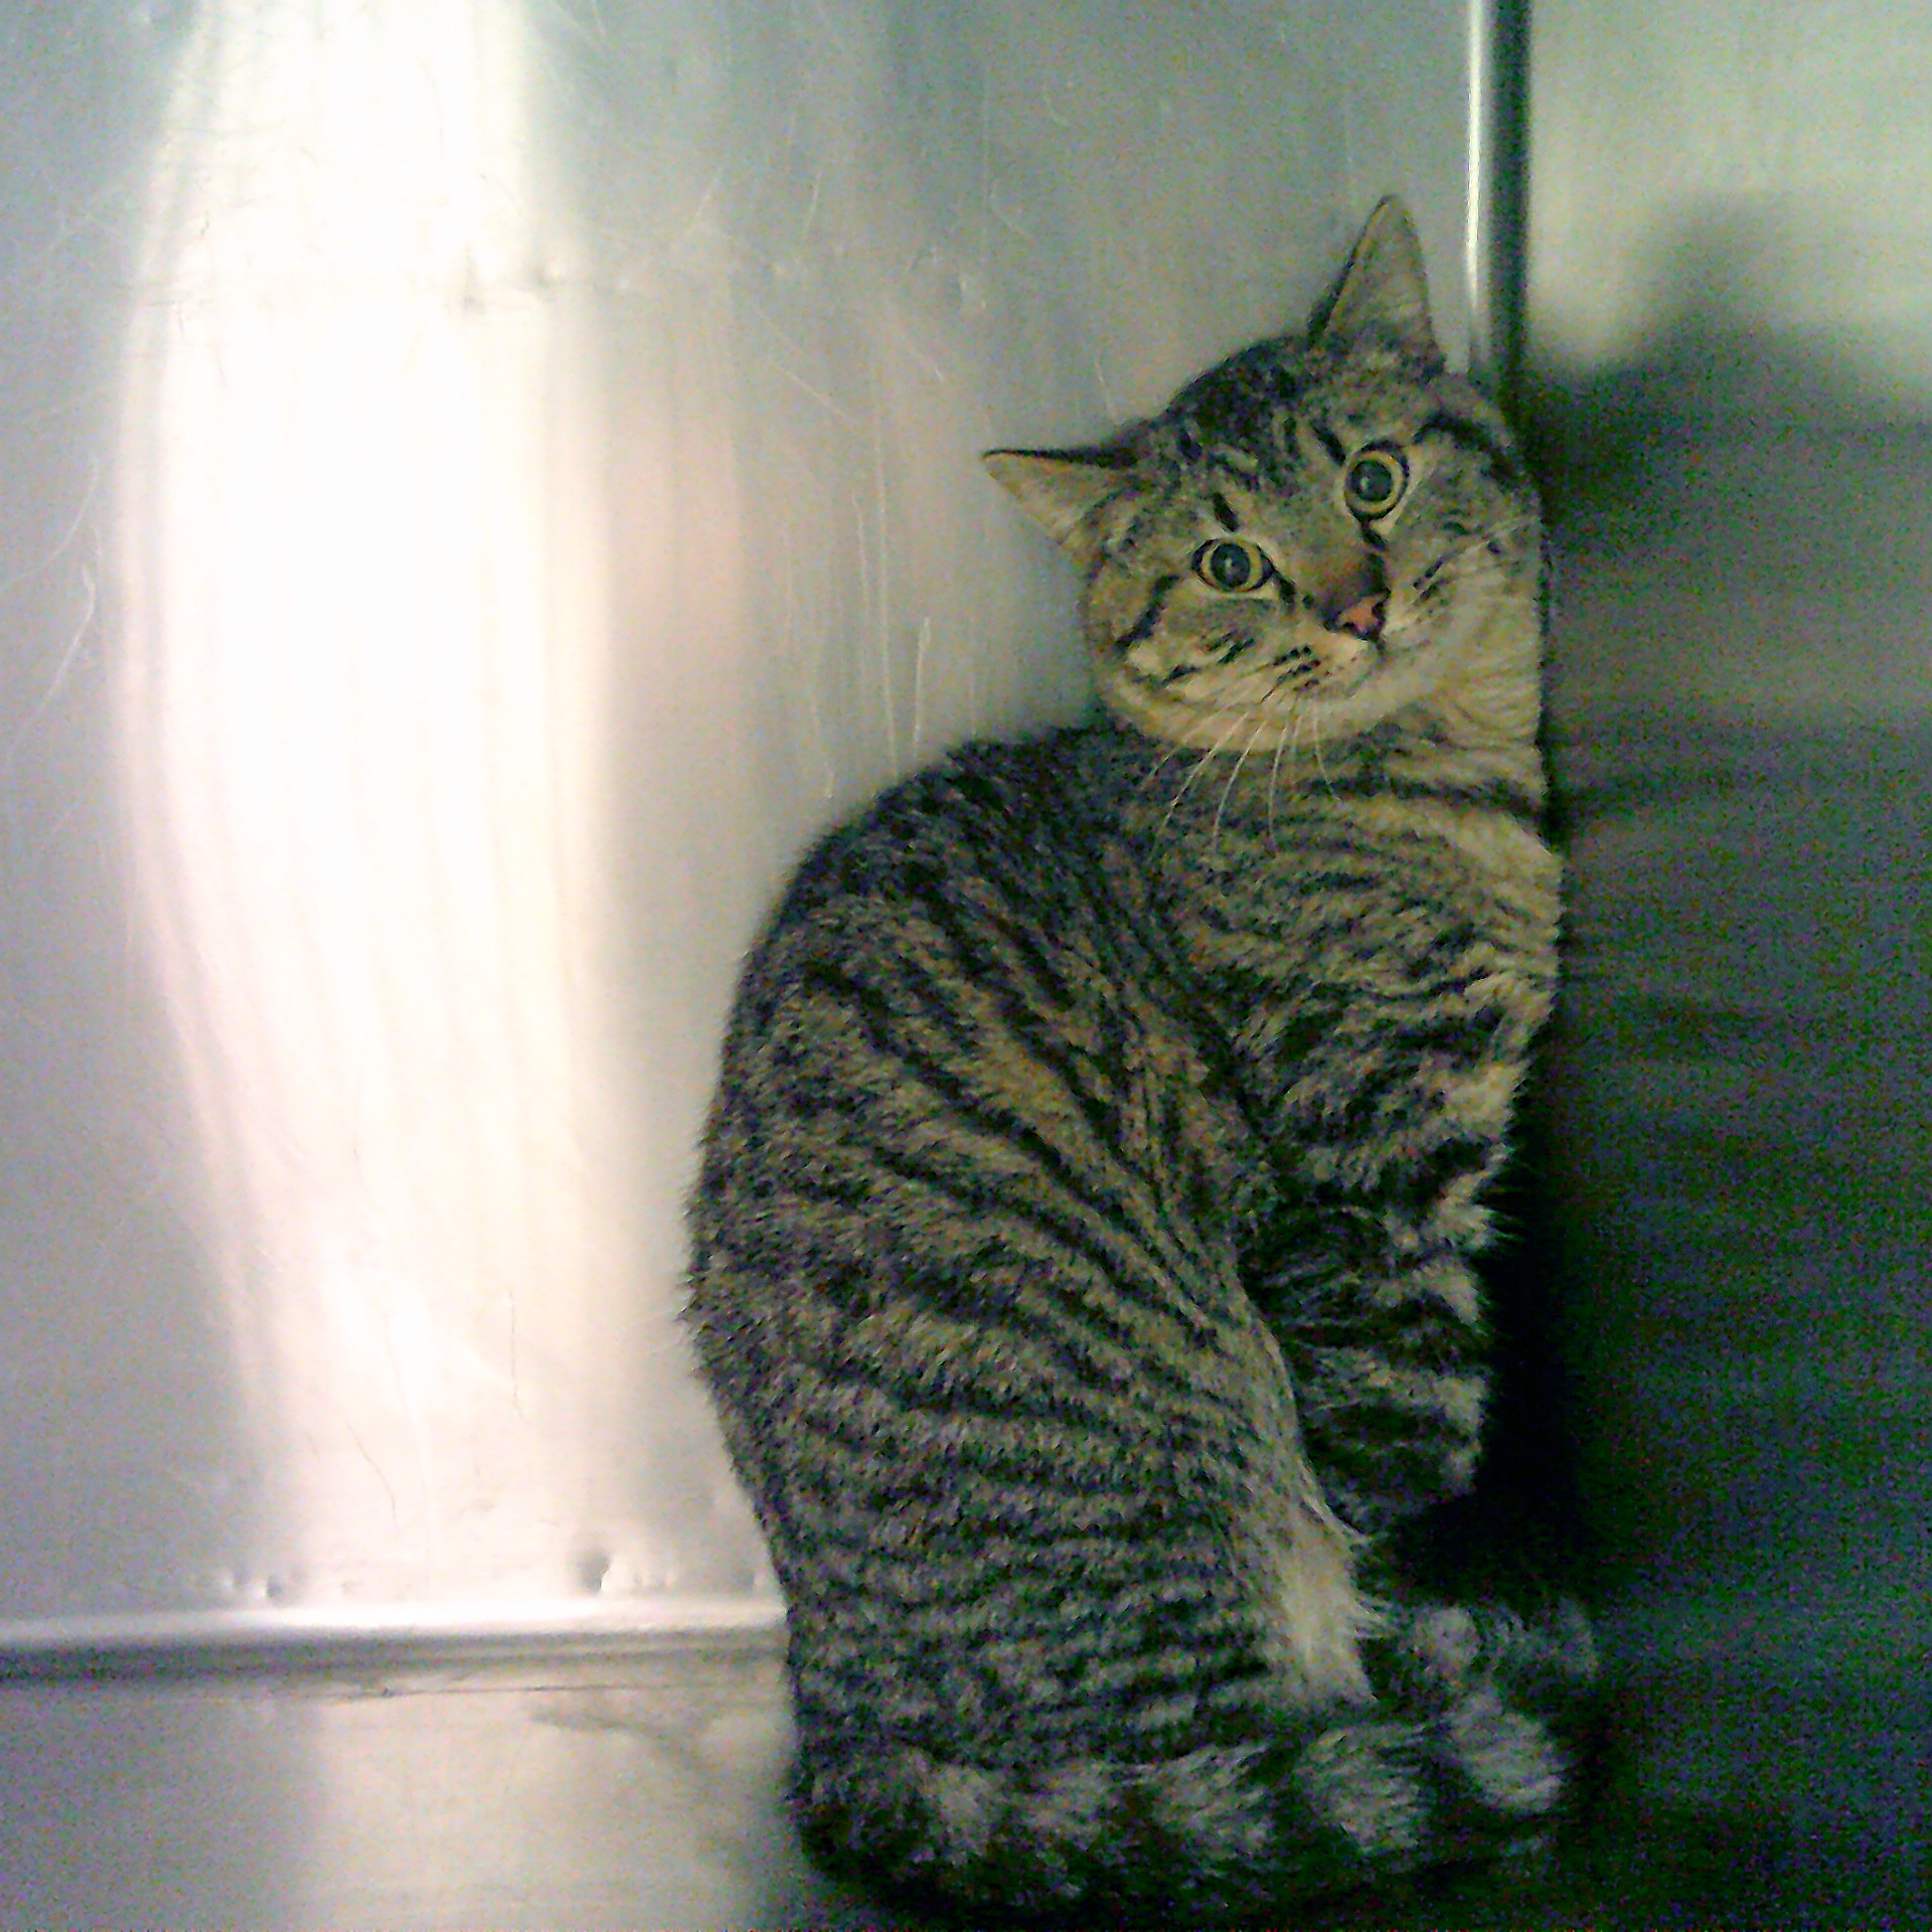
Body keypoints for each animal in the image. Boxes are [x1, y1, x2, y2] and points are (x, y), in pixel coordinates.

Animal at [685, 198, 1595, 1921]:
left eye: (1374, 476)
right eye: (1230, 562)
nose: (1357, 604)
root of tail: (840, 1730)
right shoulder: (1367, 1203)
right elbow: (1400, 1461)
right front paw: (1436, 1638)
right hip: (1181, 1497)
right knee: (1218, 1773)